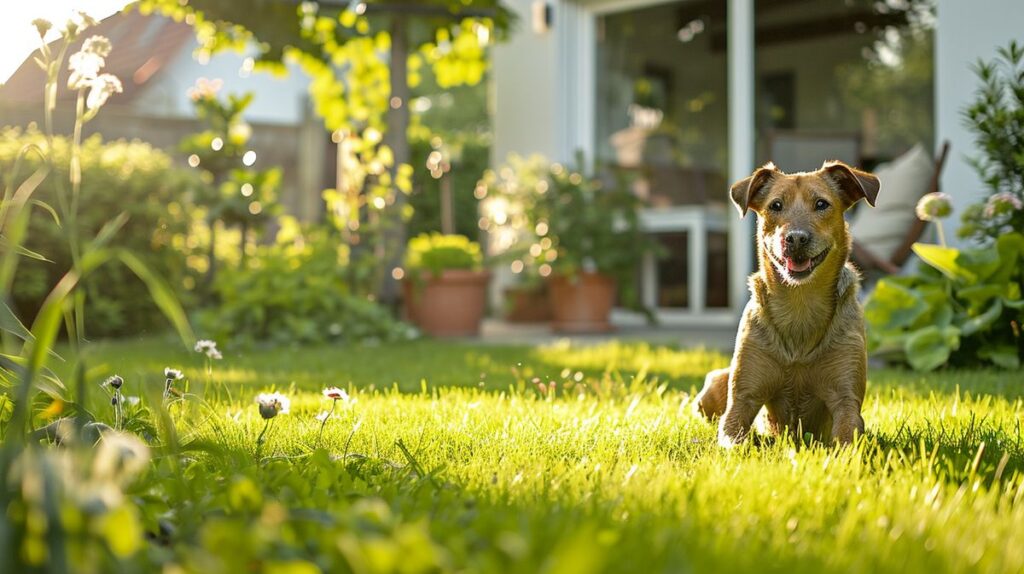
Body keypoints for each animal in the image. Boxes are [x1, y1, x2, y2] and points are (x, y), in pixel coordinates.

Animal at [696, 158, 880, 446]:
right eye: (775, 205)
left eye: (821, 204)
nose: (795, 238)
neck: (799, 304)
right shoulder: (742, 400)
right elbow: (733, 438)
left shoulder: (846, 399)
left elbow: (846, 439)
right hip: (716, 383)